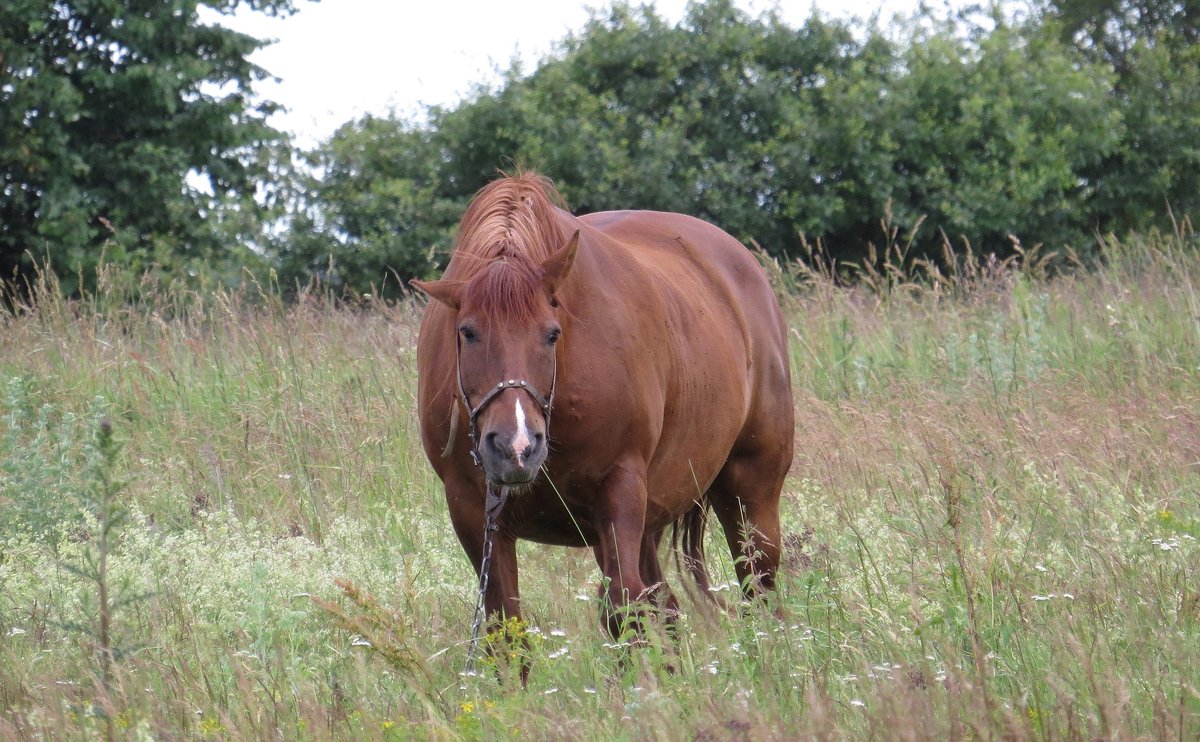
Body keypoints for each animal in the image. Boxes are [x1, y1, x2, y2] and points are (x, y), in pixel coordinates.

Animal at [412, 172, 796, 643]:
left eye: (552, 333)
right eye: (467, 332)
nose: (516, 447)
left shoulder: (619, 492)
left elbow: (622, 610)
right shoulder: (473, 512)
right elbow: (506, 630)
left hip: (749, 492)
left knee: (758, 587)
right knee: (666, 604)